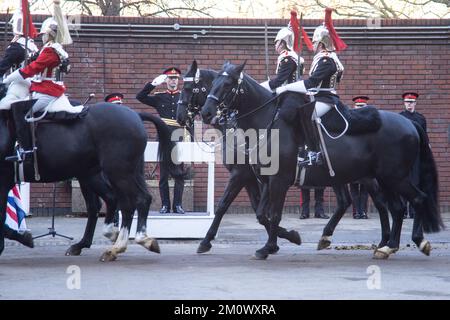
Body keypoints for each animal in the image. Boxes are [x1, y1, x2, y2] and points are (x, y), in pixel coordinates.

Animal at [0, 101, 176, 262]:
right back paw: (103, 244)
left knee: (138, 200)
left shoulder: (3, 183)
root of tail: (135, 115)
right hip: (96, 174)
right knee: (110, 204)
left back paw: (134, 241)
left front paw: (21, 239)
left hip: (118, 173)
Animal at [178, 60, 300, 252]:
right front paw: (283, 235)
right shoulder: (250, 178)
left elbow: (223, 205)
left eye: (189, 87)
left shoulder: (240, 174)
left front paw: (206, 240)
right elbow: (258, 208)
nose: (179, 116)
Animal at [201, 62, 442, 260]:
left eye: (228, 84)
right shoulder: (265, 179)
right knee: (395, 207)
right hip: (381, 178)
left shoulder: (273, 180)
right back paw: (386, 245)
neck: (267, 122)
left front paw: (271, 246)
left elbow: (273, 214)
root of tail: (409, 123)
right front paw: (285, 239)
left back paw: (407, 243)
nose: (206, 112)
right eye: (212, 84)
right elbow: (261, 214)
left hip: (393, 177)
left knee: (416, 199)